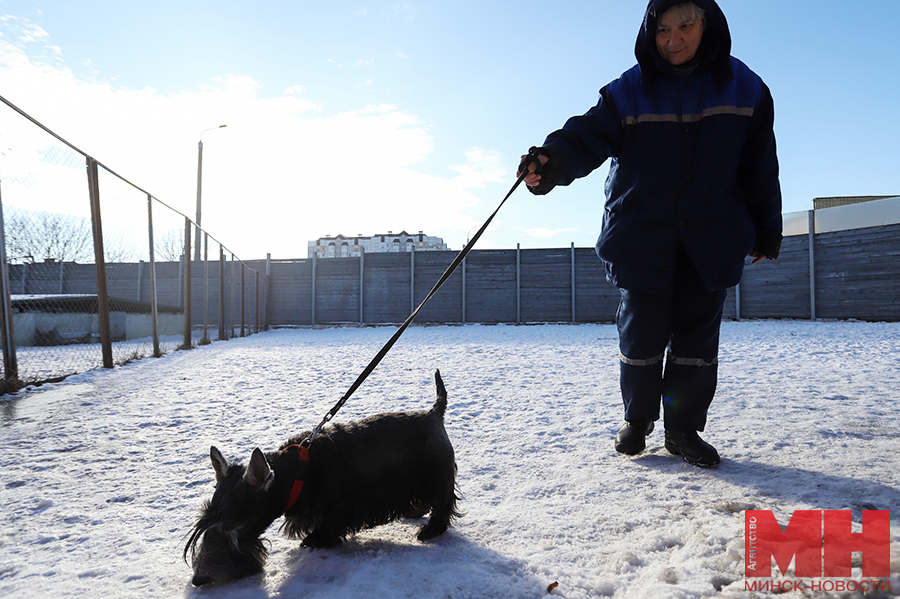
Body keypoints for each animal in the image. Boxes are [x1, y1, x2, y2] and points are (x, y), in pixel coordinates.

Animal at [185, 370, 460, 584]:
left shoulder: (336, 508)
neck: (295, 474)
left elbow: (326, 528)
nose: (199, 579)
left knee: (443, 503)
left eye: (229, 525)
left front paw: (315, 539)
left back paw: (430, 529)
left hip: (437, 477)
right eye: (205, 518)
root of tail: (434, 413)